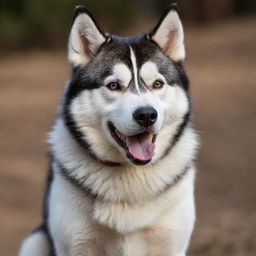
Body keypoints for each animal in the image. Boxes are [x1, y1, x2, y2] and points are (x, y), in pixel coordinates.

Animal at [19, 4, 198, 256]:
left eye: (157, 84)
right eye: (113, 85)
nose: (146, 115)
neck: (131, 173)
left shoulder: (171, 245)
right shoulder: (73, 245)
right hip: (34, 240)